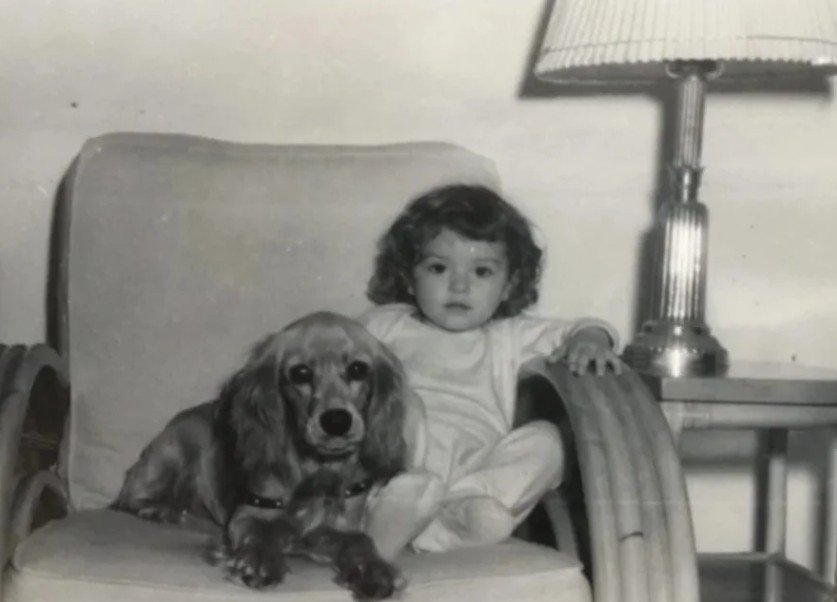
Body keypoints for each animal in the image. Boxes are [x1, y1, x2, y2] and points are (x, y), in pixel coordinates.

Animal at [111, 311, 408, 599]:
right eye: (300, 373)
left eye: (358, 369)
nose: (336, 421)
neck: (316, 471)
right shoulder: (248, 515)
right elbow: (260, 535)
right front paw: (258, 561)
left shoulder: (338, 528)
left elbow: (361, 541)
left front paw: (376, 570)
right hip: (169, 453)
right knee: (128, 497)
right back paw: (159, 510)